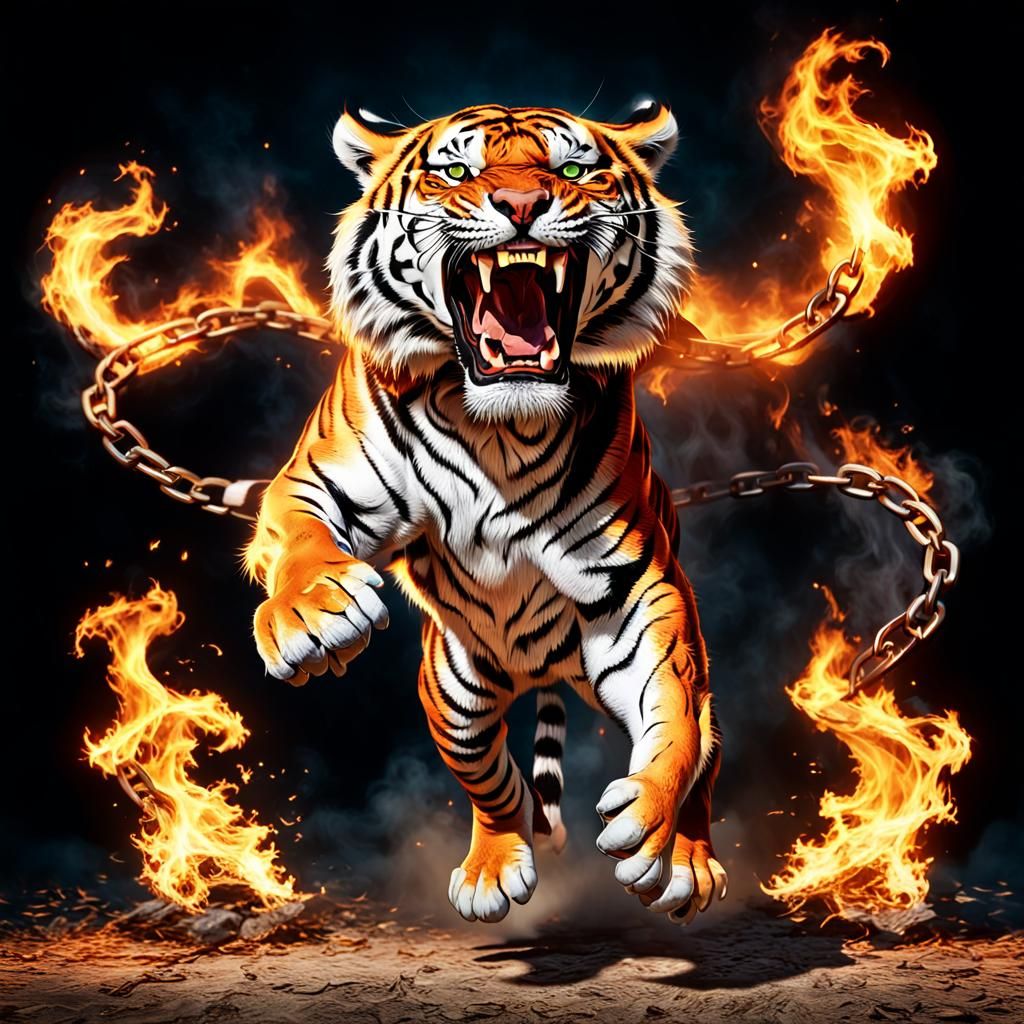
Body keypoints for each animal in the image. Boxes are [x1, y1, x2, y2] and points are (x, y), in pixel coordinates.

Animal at [245, 102, 728, 925]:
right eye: (456, 170)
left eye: (573, 169)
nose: (522, 205)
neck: (500, 426)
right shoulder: (314, 481)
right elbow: (302, 540)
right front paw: (314, 615)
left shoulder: (636, 583)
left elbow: (674, 724)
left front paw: (649, 825)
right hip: (456, 692)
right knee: (495, 783)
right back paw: (492, 871)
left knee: (707, 739)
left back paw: (689, 862)